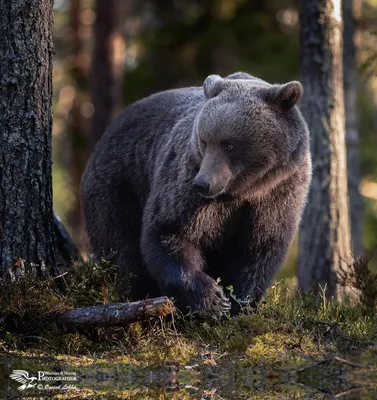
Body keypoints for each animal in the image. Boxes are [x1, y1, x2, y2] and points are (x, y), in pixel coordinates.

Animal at [80, 72, 312, 318]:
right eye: (204, 140)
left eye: (229, 145)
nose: (203, 183)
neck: (245, 188)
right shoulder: (186, 181)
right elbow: (170, 230)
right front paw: (212, 300)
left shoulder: (280, 192)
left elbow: (259, 247)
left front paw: (237, 303)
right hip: (119, 185)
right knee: (122, 249)